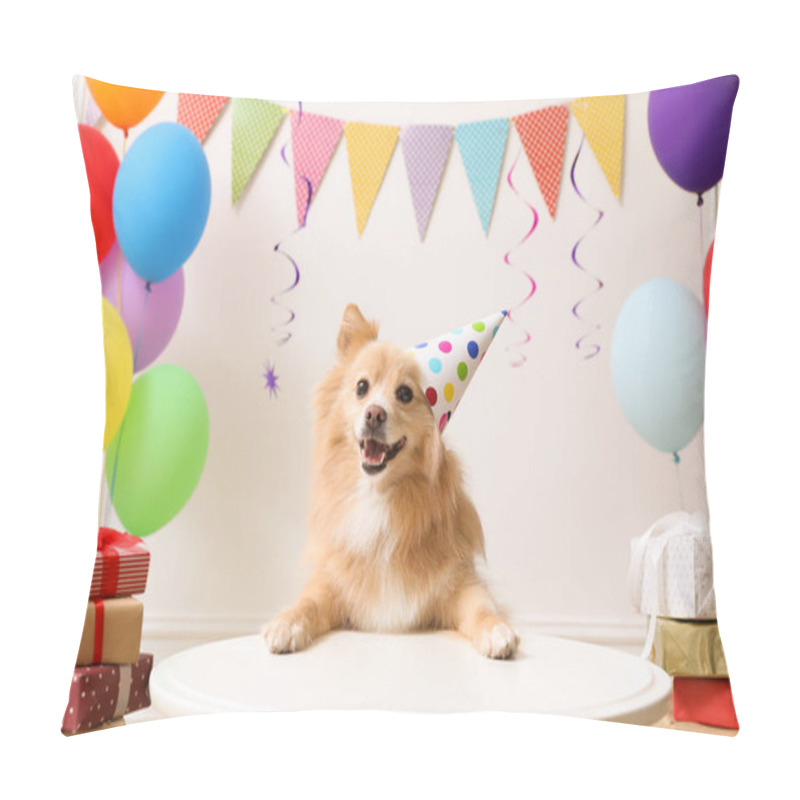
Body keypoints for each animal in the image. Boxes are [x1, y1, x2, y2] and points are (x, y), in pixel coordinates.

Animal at [262, 304, 520, 660]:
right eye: (361, 387)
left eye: (405, 393)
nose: (374, 414)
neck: (379, 495)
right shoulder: (332, 582)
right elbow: (307, 602)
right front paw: (285, 623)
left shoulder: (459, 582)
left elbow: (482, 607)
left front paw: (497, 630)